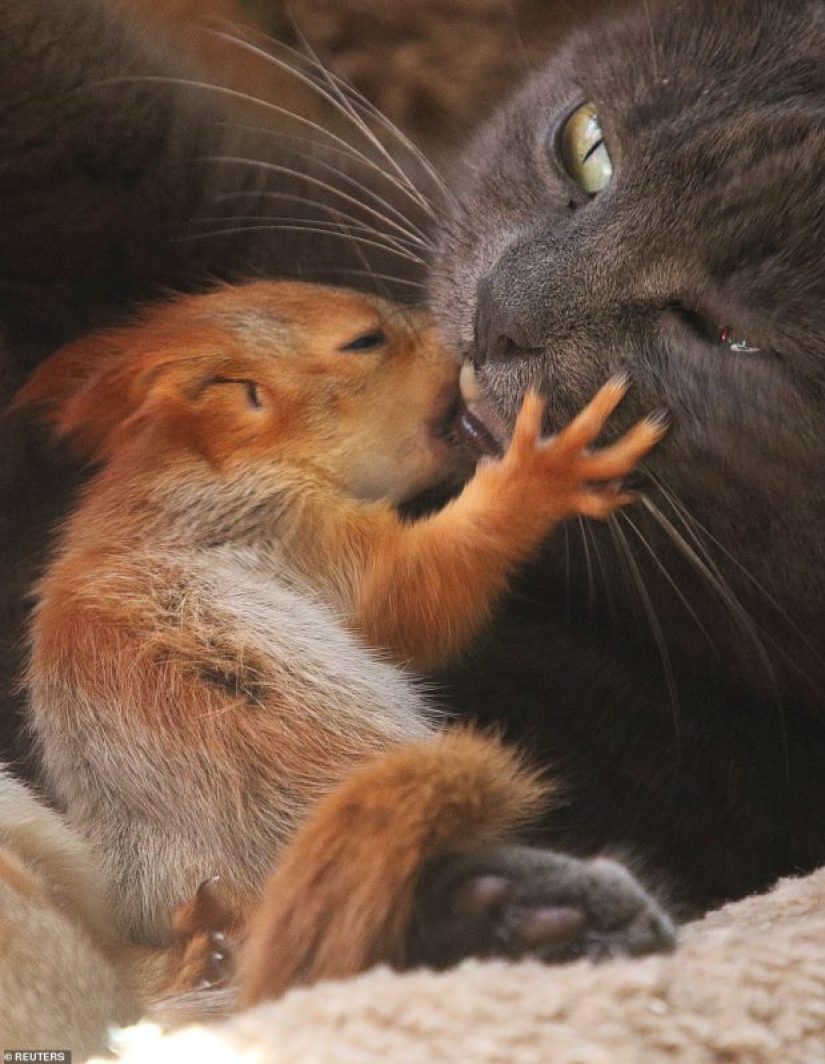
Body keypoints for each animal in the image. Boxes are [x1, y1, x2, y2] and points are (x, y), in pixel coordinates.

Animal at [17, 279, 668, 1008]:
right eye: (364, 340)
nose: (468, 339)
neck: (206, 463)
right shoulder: (284, 525)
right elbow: (409, 594)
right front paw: (541, 471)